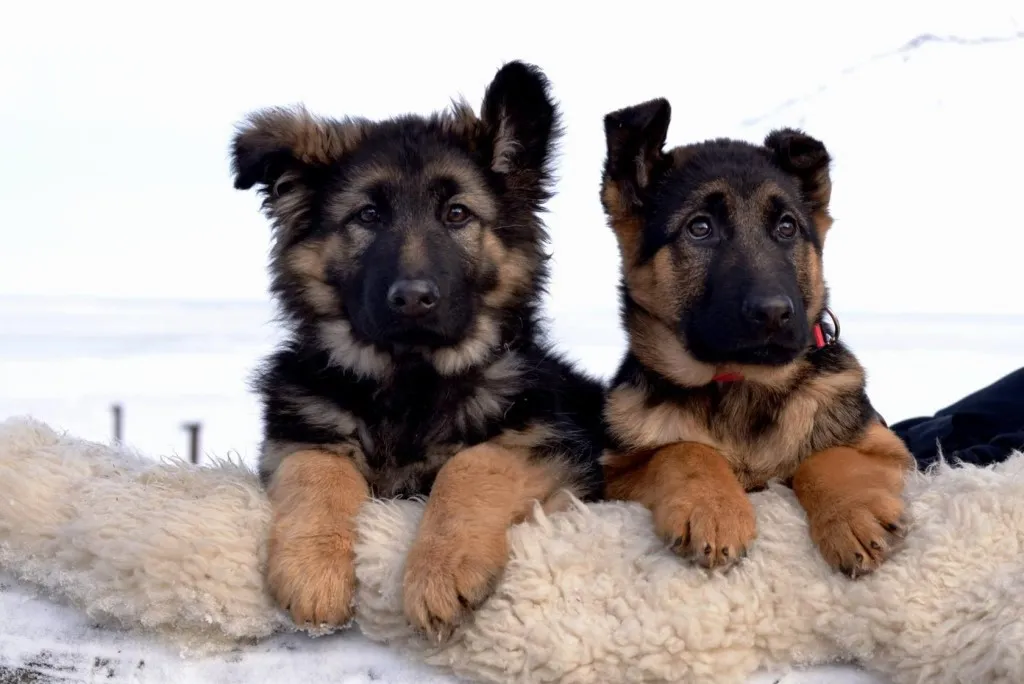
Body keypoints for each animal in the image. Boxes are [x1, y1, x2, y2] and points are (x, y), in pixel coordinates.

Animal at [228, 61, 602, 638]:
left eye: (456, 213)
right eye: (367, 216)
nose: (412, 299)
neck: (410, 384)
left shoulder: (553, 454)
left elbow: (473, 463)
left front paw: (442, 570)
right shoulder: (295, 438)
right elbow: (319, 469)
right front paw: (314, 570)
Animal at [598, 96, 913, 577]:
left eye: (786, 227)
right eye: (700, 228)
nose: (773, 314)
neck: (741, 386)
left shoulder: (889, 450)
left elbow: (826, 455)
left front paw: (853, 512)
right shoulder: (616, 477)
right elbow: (684, 450)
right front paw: (713, 508)